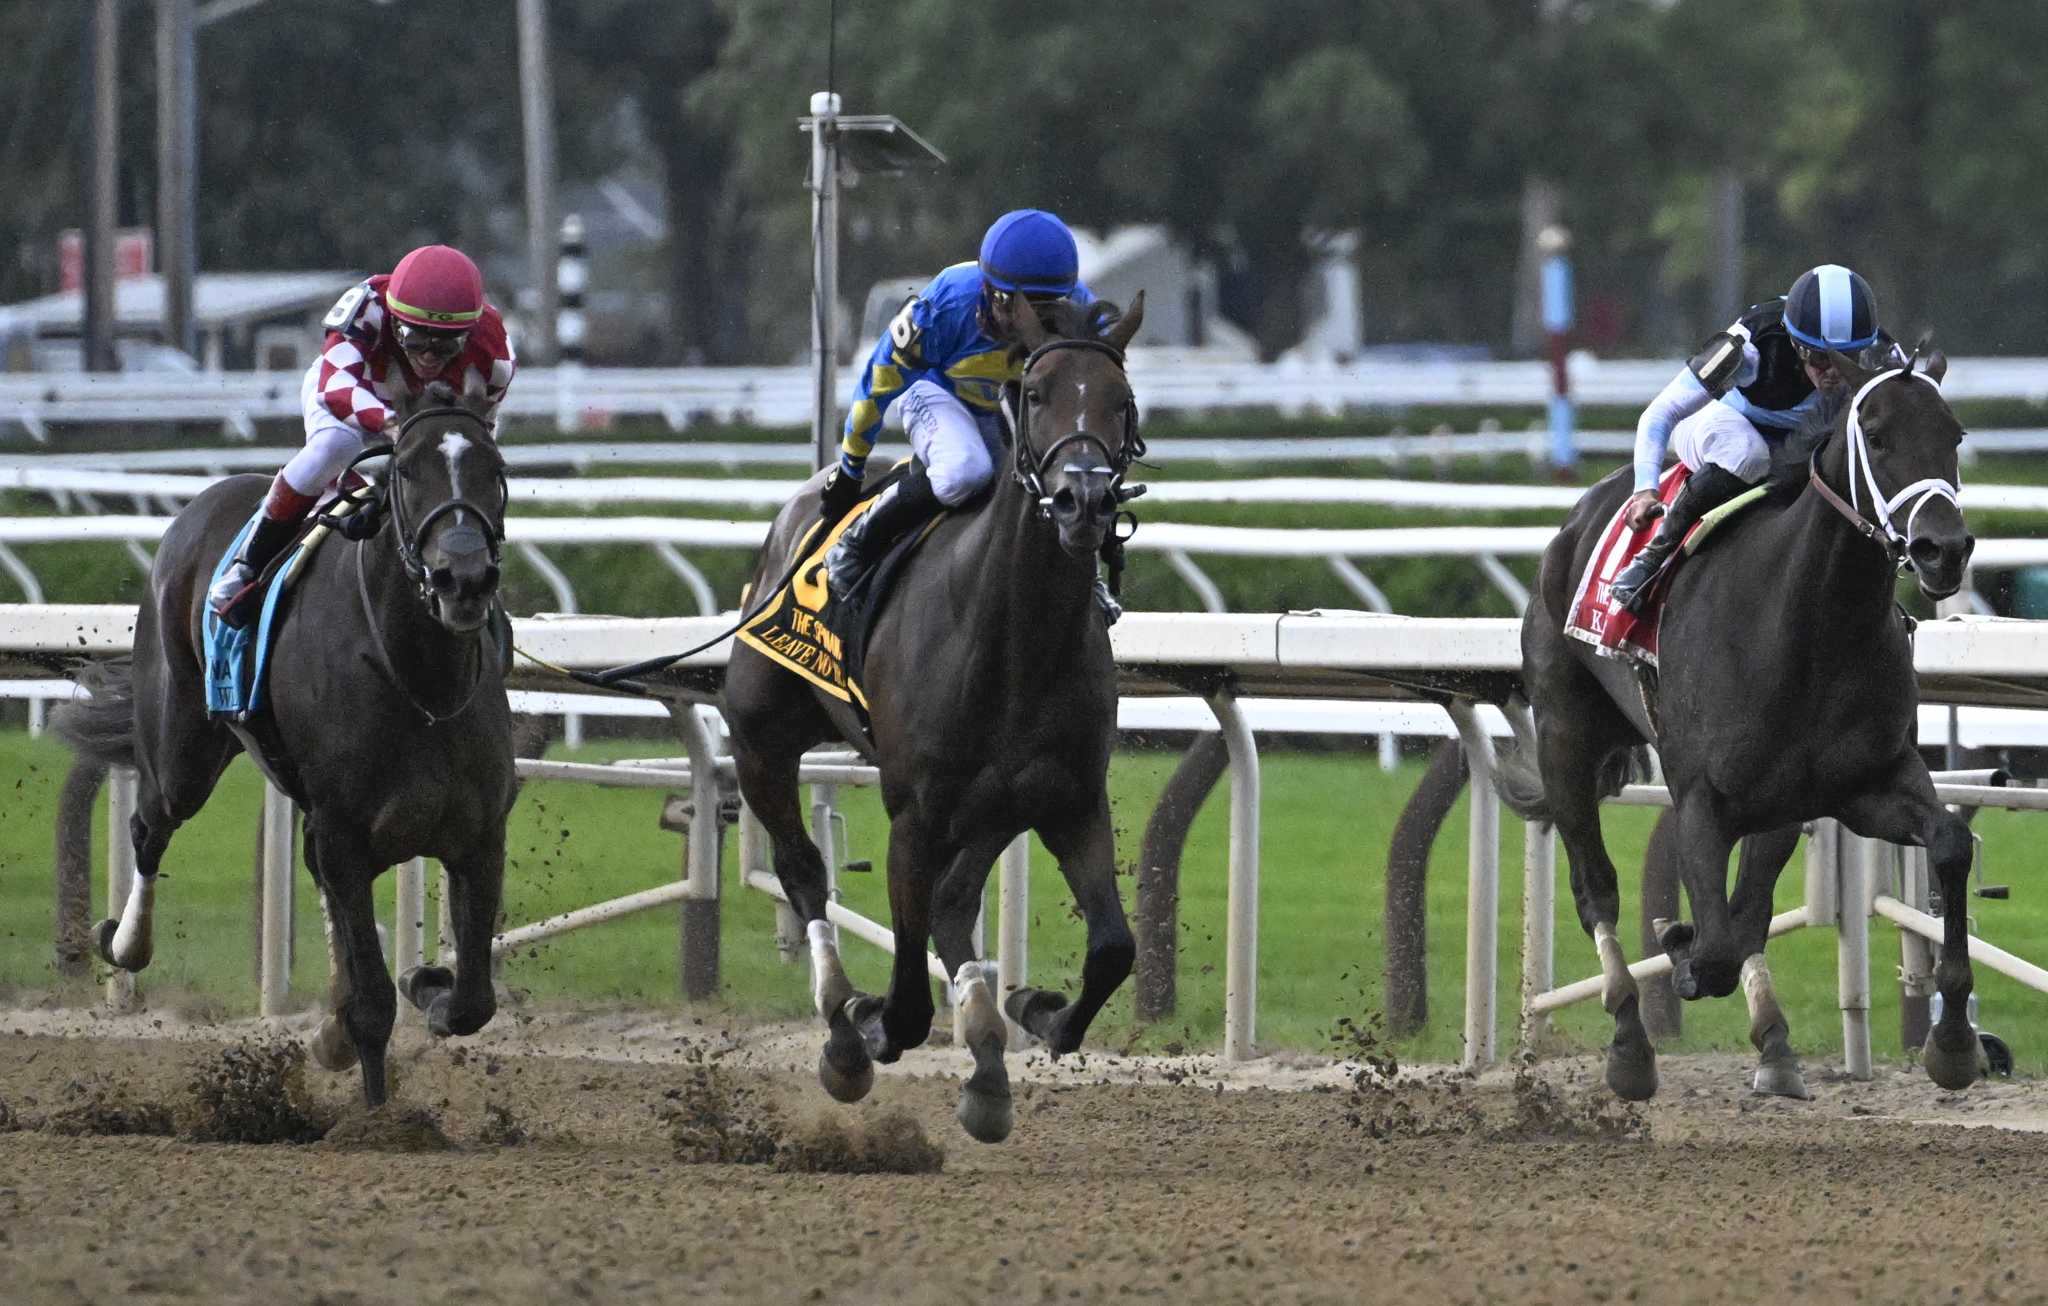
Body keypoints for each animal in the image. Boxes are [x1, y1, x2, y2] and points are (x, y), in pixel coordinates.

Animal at [56, 407, 512, 1105]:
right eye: (407, 471)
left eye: (496, 469)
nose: (462, 578)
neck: (420, 684)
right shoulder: (344, 831)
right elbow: (373, 1004)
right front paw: (377, 1113)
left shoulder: (479, 836)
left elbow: (472, 1002)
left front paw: (425, 984)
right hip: (182, 752)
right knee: (150, 825)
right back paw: (125, 942)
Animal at [724, 290, 1146, 1138]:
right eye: (1037, 394)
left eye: (1122, 402)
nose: (1082, 500)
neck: (1016, 638)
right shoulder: (914, 811)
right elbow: (910, 992)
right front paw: (870, 1024)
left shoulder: (1065, 797)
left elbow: (1112, 947)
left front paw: (1036, 1011)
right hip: (760, 737)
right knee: (804, 870)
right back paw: (842, 1023)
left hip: (990, 804)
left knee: (952, 906)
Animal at [1499, 350, 1974, 1105]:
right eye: (1875, 434)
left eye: (1954, 434)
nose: (1942, 550)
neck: (1808, 625)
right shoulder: (1702, 798)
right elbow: (1715, 945)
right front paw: (1680, 948)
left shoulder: (1866, 785)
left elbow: (1951, 844)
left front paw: (1952, 1042)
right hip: (1566, 735)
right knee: (1595, 887)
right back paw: (1630, 1044)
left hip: (1778, 801)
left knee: (1750, 908)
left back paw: (1775, 1046)